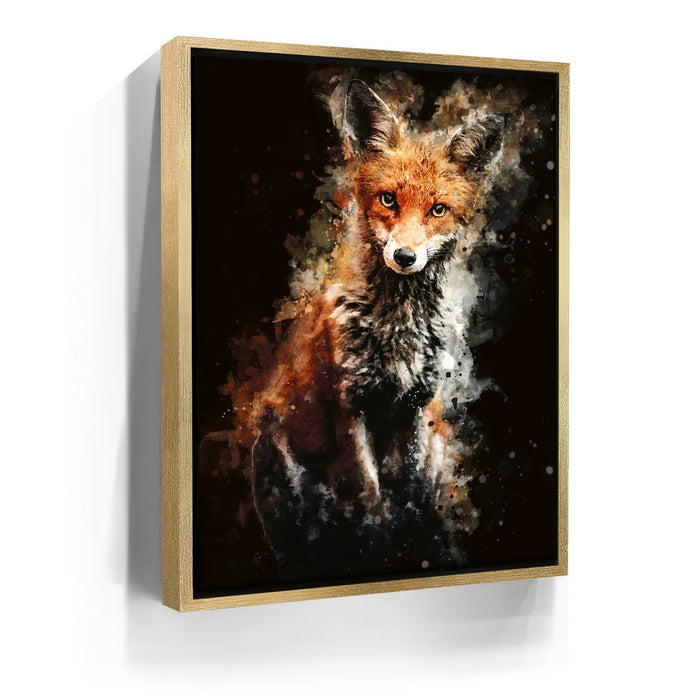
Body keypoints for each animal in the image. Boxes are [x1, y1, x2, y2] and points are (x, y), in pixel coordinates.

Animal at [249, 79, 505, 577]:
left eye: (438, 210)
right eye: (389, 200)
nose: (404, 257)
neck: (397, 328)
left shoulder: (417, 405)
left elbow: (412, 491)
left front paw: (417, 541)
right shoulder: (350, 406)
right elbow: (370, 496)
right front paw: (380, 541)